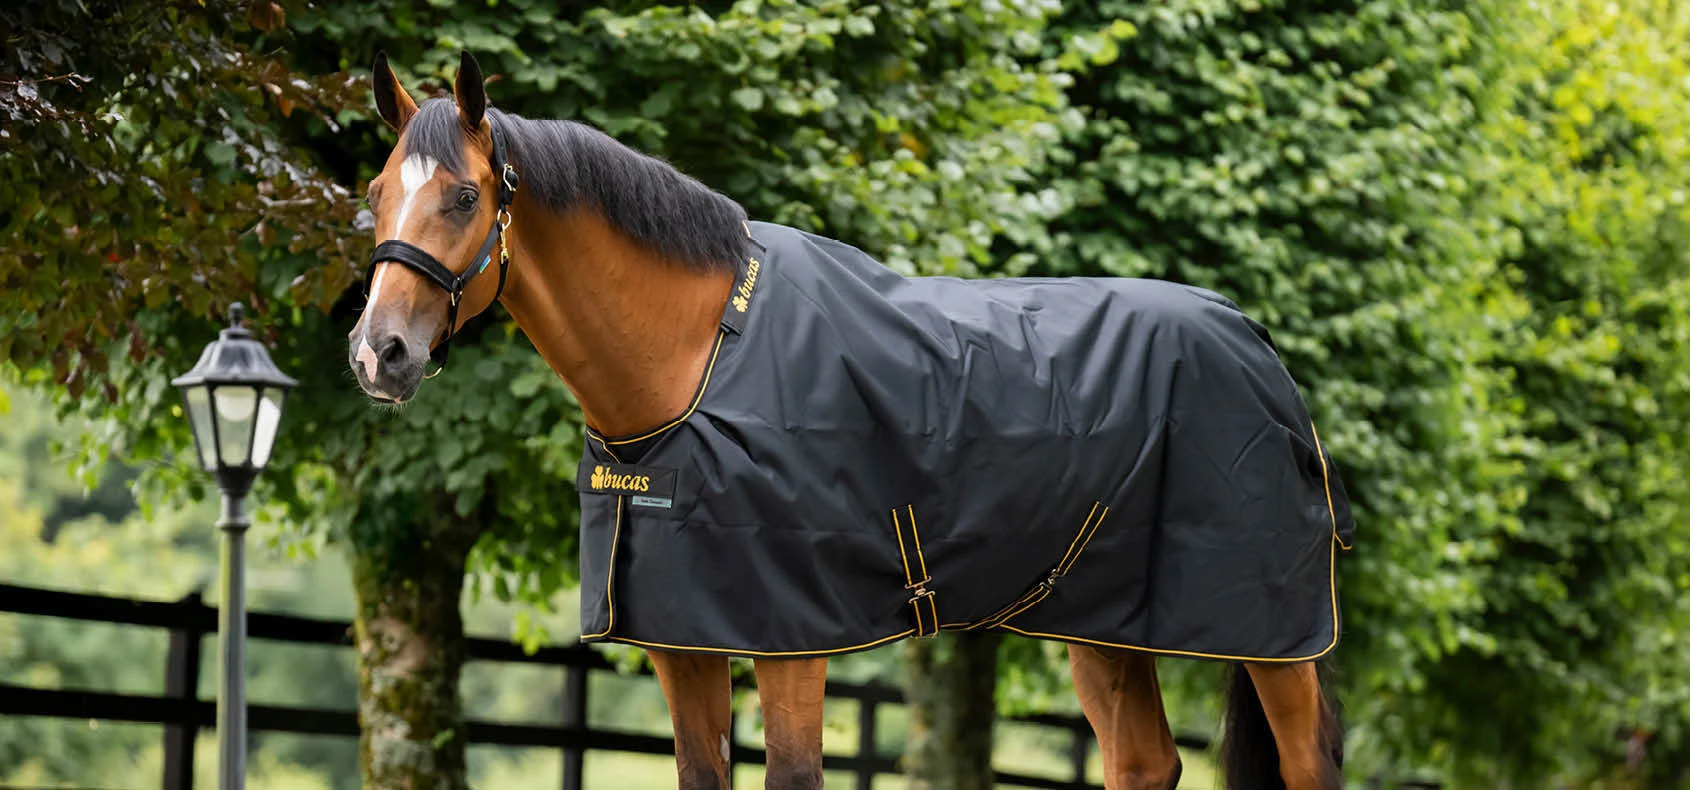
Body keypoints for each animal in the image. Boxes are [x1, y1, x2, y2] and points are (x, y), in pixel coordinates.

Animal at [348, 51, 1347, 790]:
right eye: (374, 194)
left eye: (465, 197)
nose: (378, 354)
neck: (700, 361)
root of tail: (1253, 340)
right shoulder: (681, 640)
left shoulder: (796, 638)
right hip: (1102, 622)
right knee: (1143, 761)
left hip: (1274, 639)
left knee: (1306, 762)